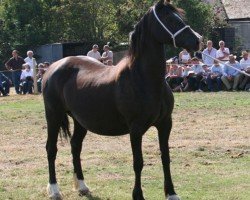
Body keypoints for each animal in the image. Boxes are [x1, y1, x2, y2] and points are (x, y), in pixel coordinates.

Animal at [43, 0, 202, 199]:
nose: (198, 40)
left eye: (180, 17)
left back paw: (82, 186)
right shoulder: (135, 128)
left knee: (75, 146)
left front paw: (171, 193)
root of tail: (53, 68)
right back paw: (54, 190)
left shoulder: (165, 123)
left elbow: (165, 157)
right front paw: (138, 195)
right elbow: (138, 162)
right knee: (51, 149)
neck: (143, 78)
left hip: (80, 121)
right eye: (170, 19)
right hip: (53, 116)